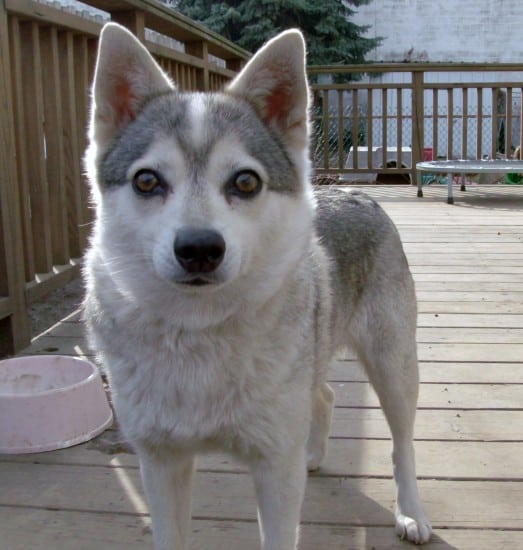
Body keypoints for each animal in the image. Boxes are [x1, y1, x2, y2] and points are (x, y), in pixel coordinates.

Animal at [84, 22, 432, 550]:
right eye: (146, 181)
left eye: (245, 182)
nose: (199, 248)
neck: (200, 331)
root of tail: (358, 191)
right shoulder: (161, 462)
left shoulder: (273, 470)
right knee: (324, 397)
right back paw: (312, 455)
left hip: (393, 368)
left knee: (403, 445)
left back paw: (410, 510)